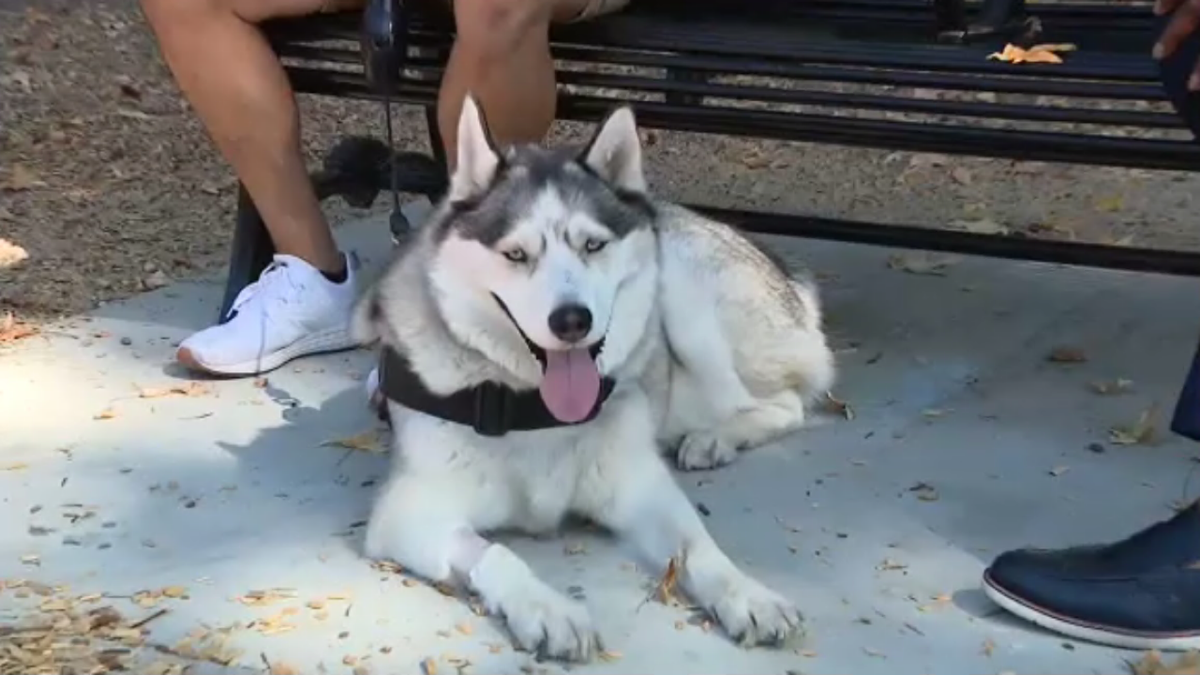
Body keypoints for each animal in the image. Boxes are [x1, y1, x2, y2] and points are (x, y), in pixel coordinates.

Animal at [355, 97, 835, 658]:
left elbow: (698, 545)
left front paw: (746, 593)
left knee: (785, 404)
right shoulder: (407, 514)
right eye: (516, 254)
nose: (572, 320)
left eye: (593, 245)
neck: (531, 409)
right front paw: (547, 608)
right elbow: (495, 552)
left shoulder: (641, 488)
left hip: (684, 292)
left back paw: (713, 439)